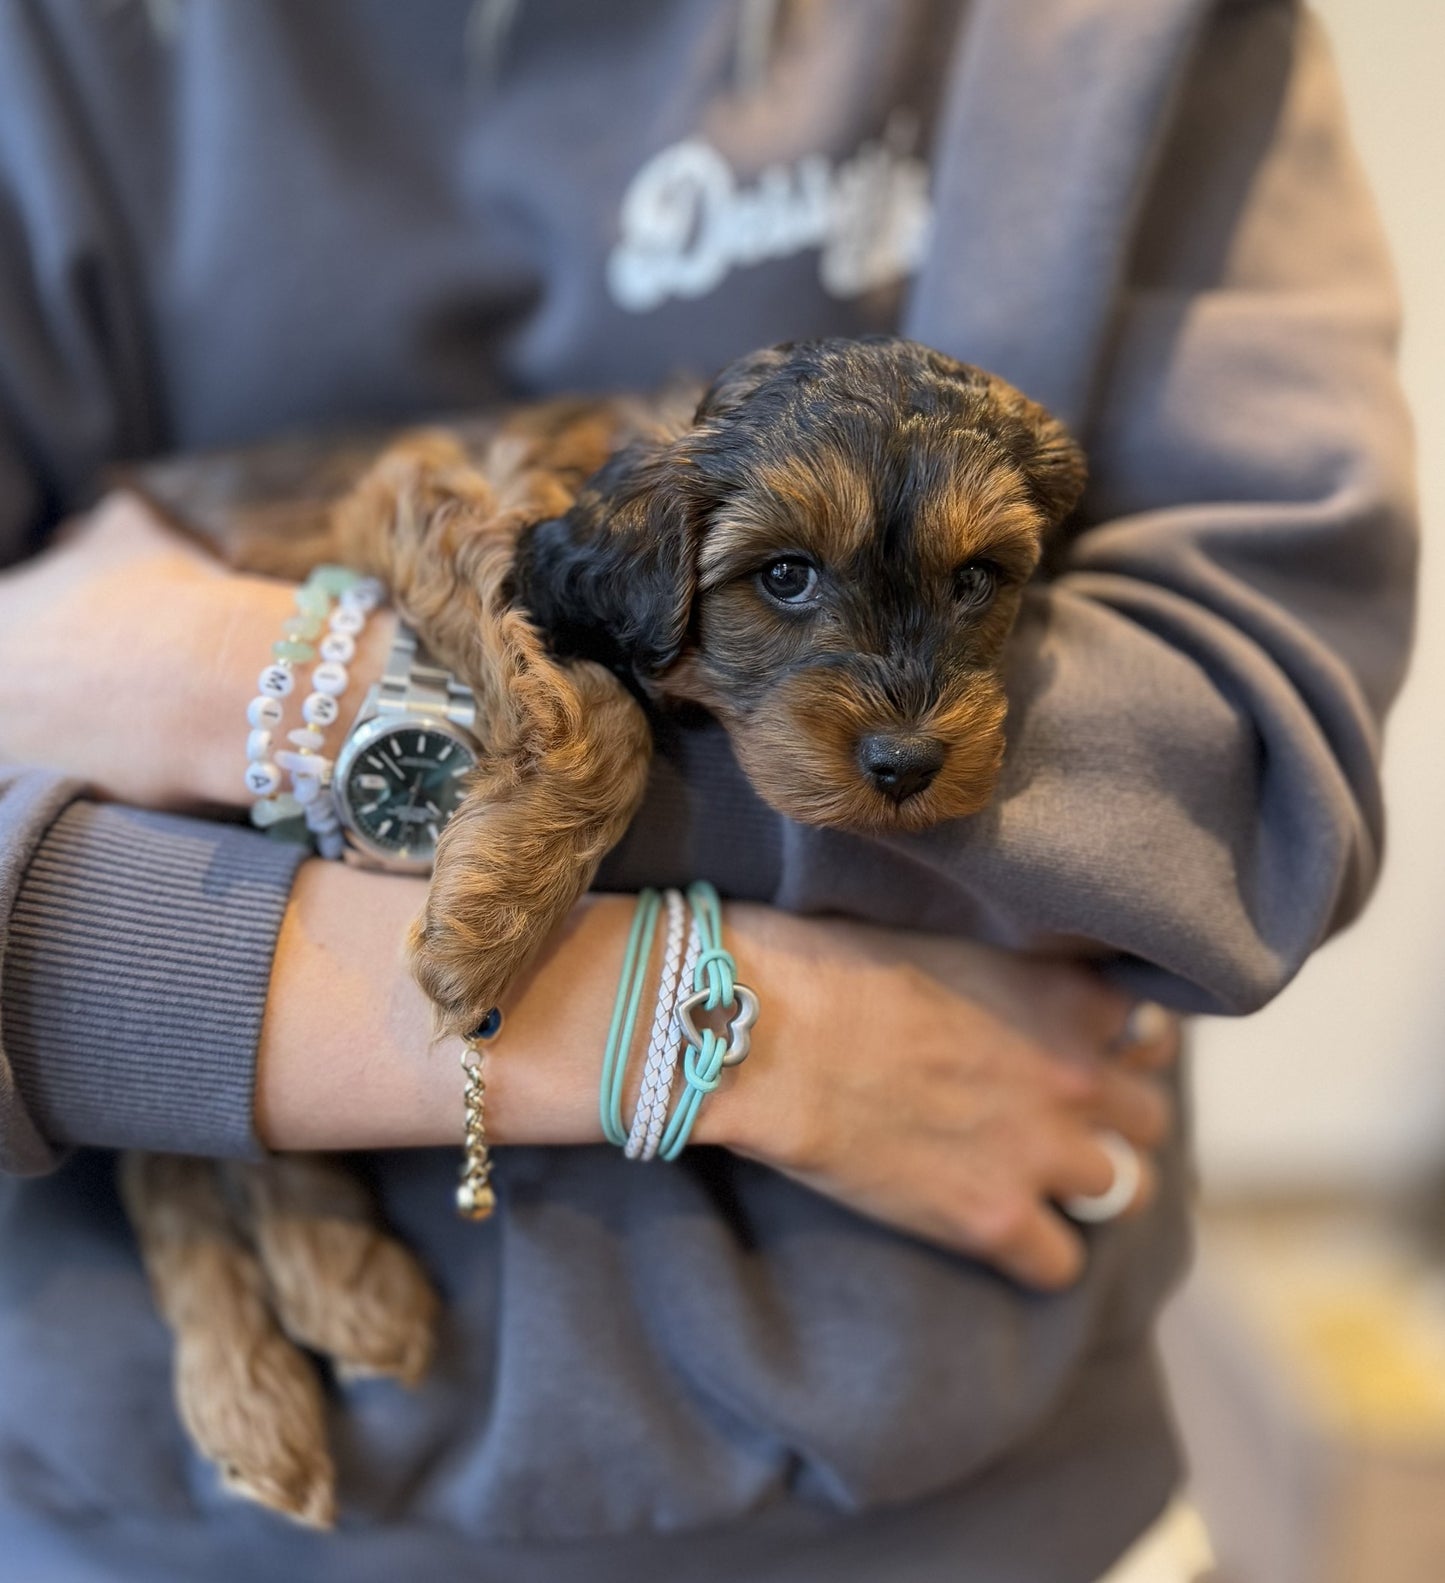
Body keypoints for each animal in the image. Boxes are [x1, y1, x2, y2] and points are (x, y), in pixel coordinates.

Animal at [118, 330, 1082, 1519]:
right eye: (785, 575)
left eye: (976, 580)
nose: (906, 765)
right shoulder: (429, 498)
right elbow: (597, 704)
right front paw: (490, 924)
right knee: (160, 1151)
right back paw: (253, 1382)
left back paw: (331, 1281)